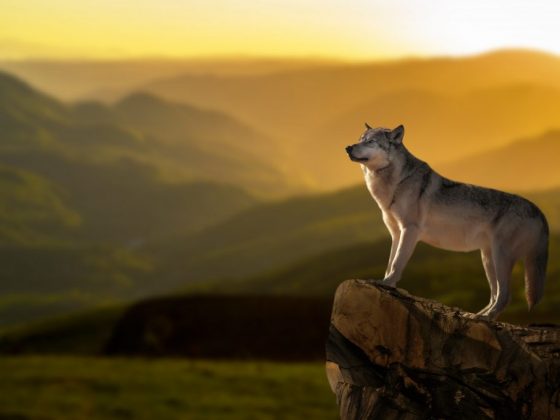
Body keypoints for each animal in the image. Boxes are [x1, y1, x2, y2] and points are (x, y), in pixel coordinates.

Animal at [344, 123, 548, 320]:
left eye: (370, 141)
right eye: (360, 139)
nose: (348, 147)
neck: (394, 183)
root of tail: (538, 211)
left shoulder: (409, 230)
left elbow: (396, 263)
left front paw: (387, 284)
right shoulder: (396, 234)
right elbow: (390, 262)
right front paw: (385, 283)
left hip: (500, 257)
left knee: (505, 295)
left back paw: (485, 318)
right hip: (488, 259)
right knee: (495, 295)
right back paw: (476, 315)